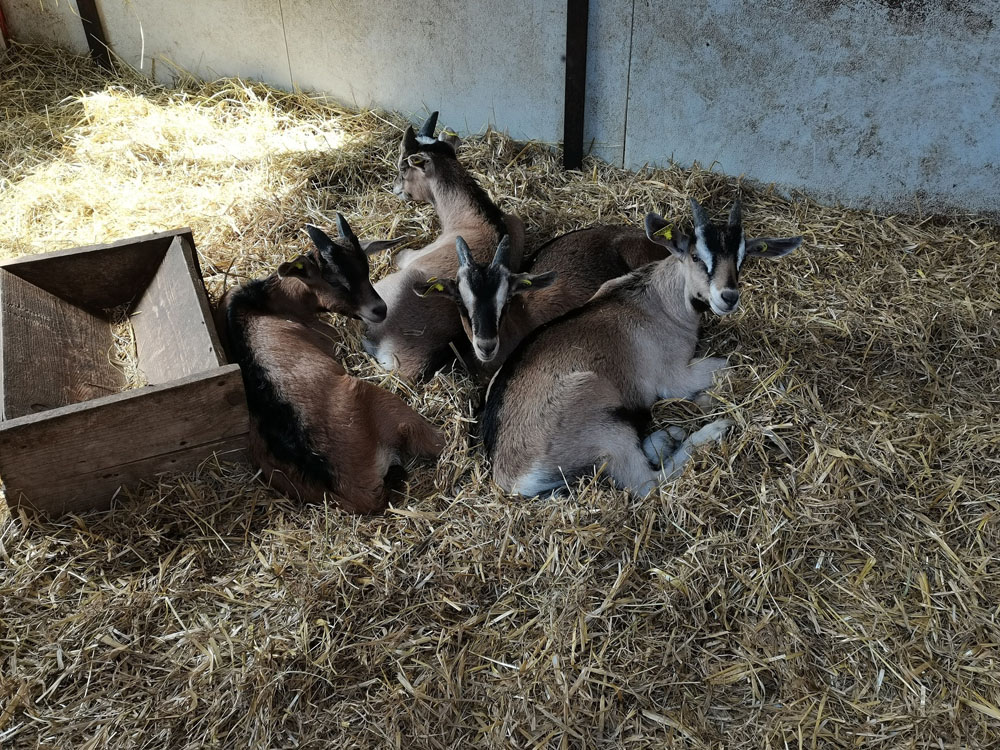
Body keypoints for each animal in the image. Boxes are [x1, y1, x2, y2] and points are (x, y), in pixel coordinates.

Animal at [217, 214, 444, 516]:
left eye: (365, 269)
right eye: (335, 281)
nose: (379, 309)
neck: (262, 303)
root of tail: (355, 491)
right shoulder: (328, 335)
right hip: (379, 401)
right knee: (437, 444)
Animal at [480, 197, 800, 496]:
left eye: (742, 259)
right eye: (696, 256)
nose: (728, 296)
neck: (660, 300)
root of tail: (512, 478)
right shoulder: (675, 377)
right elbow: (730, 363)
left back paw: (669, 435)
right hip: (602, 423)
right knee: (649, 483)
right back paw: (712, 430)